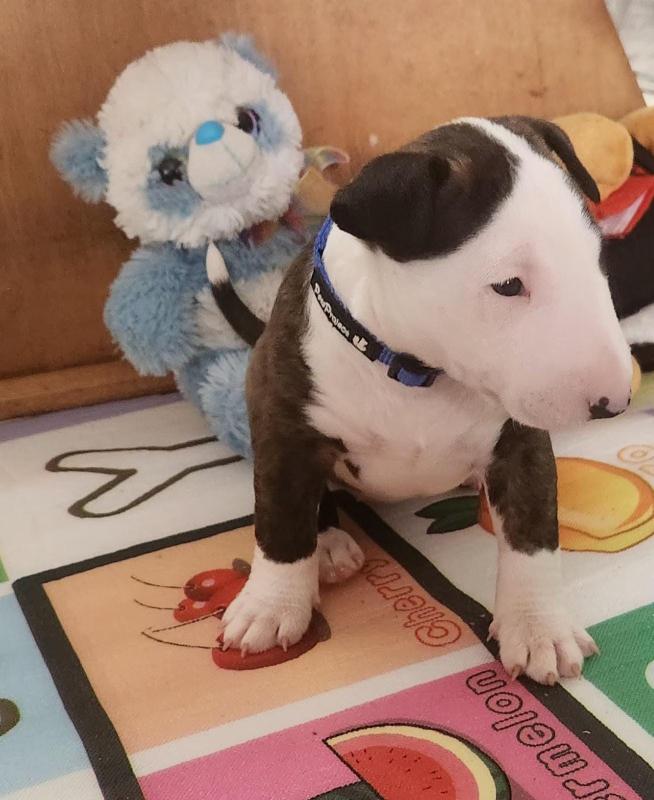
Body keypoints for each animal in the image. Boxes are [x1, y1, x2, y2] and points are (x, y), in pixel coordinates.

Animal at [220, 116, 633, 684]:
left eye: (598, 258)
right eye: (508, 285)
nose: (616, 401)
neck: (418, 371)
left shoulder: (519, 440)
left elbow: (532, 534)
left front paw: (539, 629)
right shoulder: (283, 421)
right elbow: (280, 521)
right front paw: (270, 606)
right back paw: (328, 546)